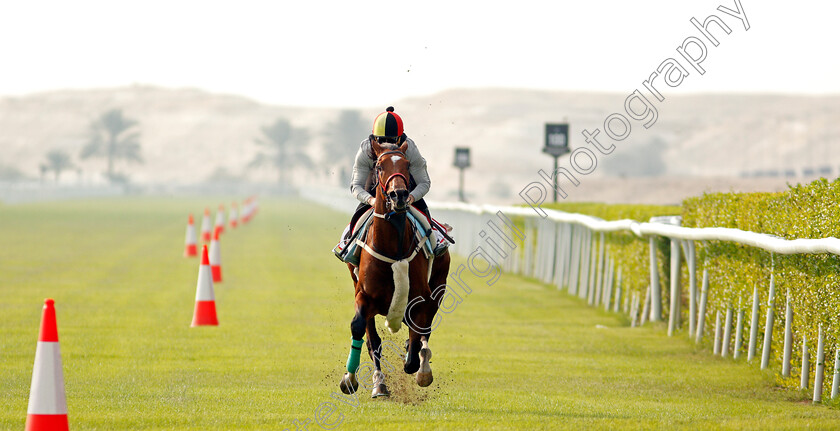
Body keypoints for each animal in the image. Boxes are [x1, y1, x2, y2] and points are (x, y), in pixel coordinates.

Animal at [338, 138, 450, 398]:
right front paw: (352, 379)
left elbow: (416, 340)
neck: (392, 247)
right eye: (379, 166)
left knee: (424, 330)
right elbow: (362, 331)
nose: (399, 195)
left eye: (407, 165)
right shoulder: (363, 295)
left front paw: (419, 367)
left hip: (439, 287)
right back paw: (379, 382)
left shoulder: (421, 298)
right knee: (374, 339)